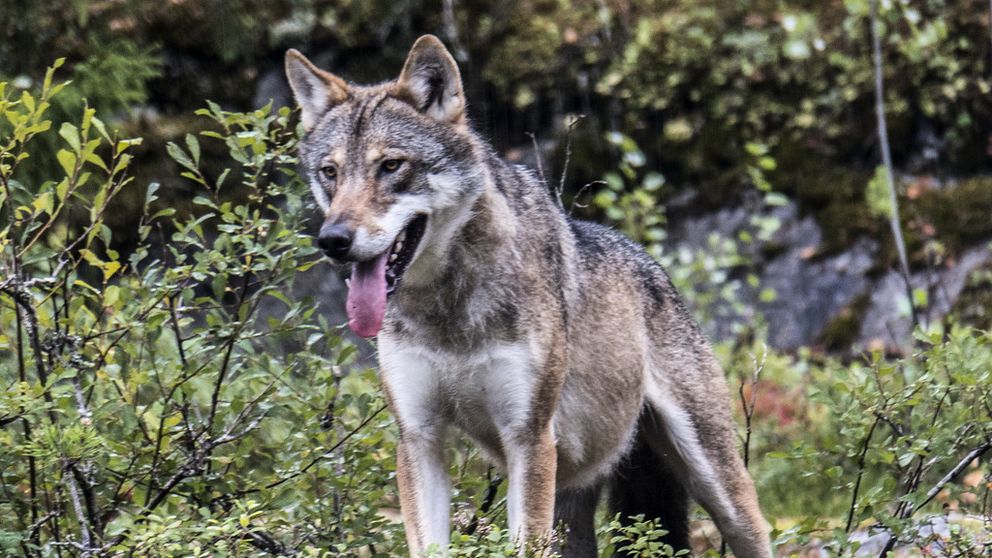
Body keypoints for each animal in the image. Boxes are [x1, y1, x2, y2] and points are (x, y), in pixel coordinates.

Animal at [282, 36, 772, 558]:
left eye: (391, 165)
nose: (333, 240)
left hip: (718, 487)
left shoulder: (528, 438)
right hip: (573, 508)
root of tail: (653, 265)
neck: (447, 312)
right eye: (330, 173)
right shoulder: (418, 438)